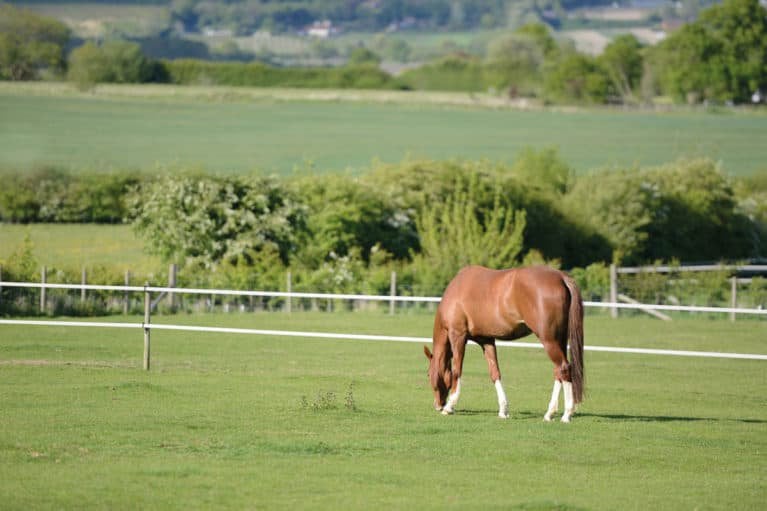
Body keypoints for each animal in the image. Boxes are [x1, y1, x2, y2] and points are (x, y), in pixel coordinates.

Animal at [423, 265, 584, 422]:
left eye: (428, 374)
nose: (437, 405)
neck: (457, 291)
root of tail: (561, 277)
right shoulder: (486, 340)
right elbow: (494, 372)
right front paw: (503, 410)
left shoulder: (458, 336)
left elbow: (457, 370)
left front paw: (450, 406)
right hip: (559, 339)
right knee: (558, 372)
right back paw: (550, 413)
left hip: (548, 339)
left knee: (563, 368)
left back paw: (566, 414)